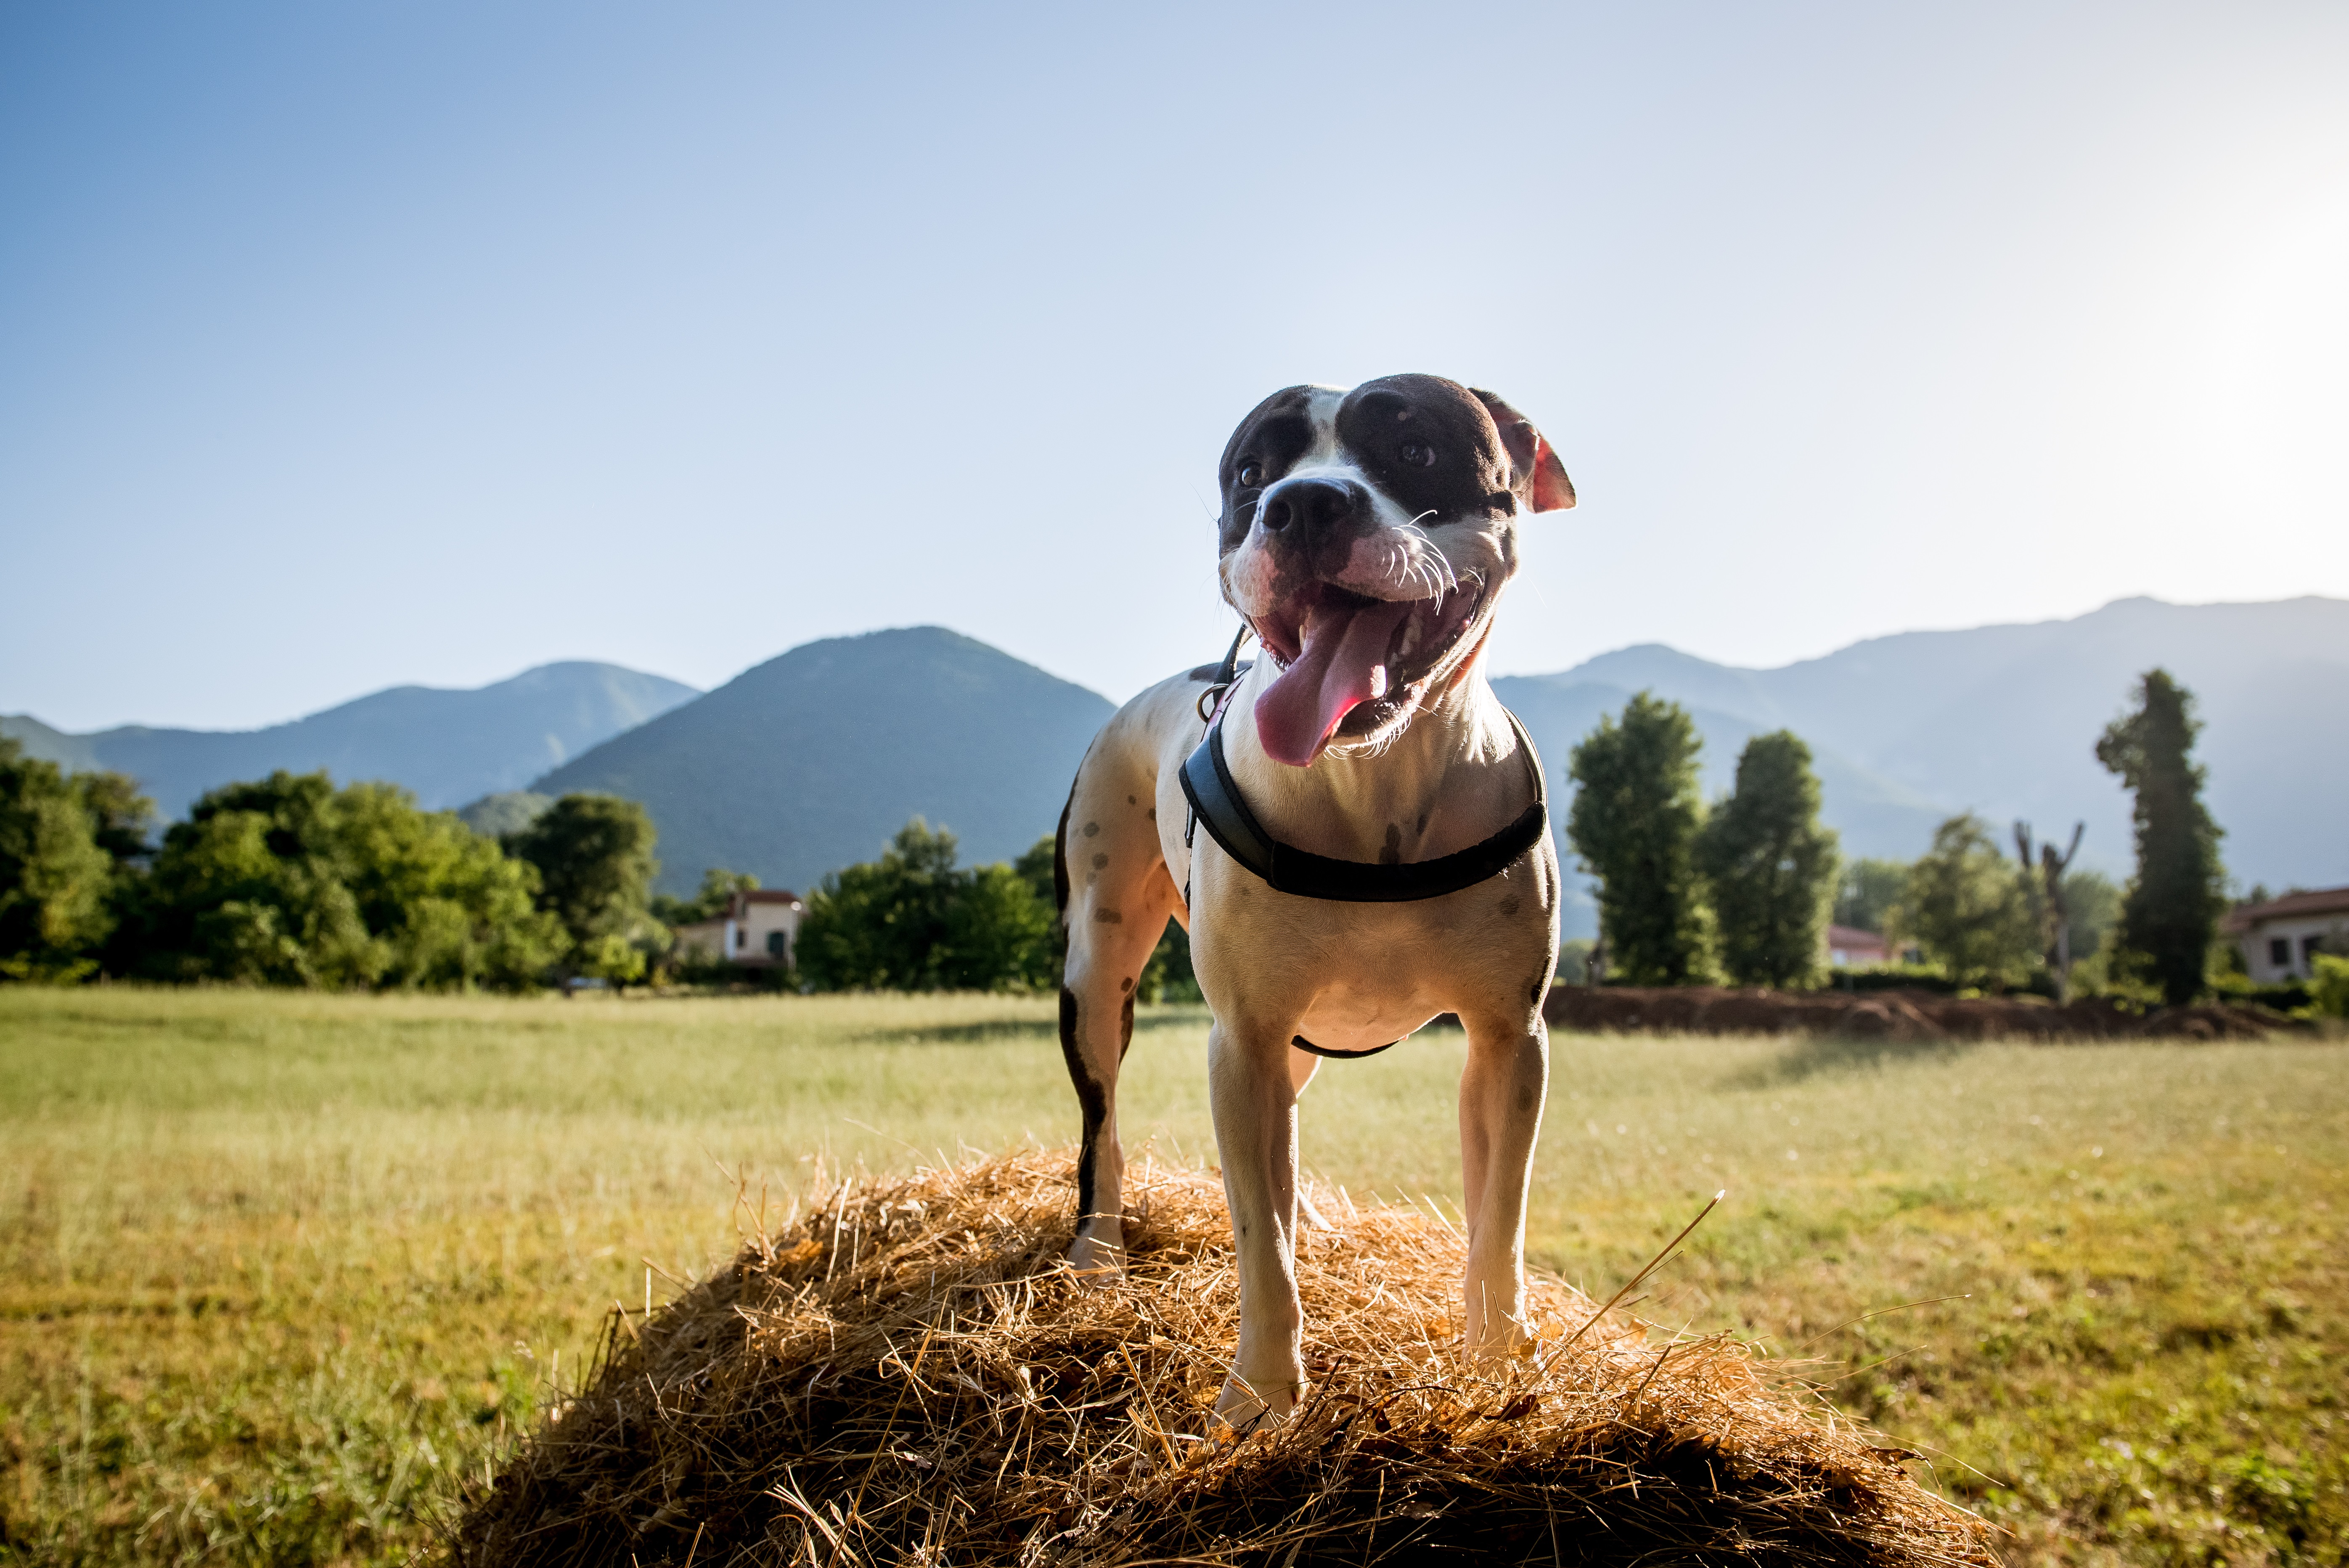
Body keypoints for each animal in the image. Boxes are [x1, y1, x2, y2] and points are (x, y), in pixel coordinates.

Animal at [1052, 373, 1569, 1427]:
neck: (1373, 781)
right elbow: (1262, 1247)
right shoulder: (1241, 1043)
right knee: (1104, 1132)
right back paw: (1098, 1253)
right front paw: (1258, 1397)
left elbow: (1496, 1224)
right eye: (1253, 472)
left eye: (1414, 450)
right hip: (1094, 978)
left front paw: (1498, 1364)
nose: (1302, 505)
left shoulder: (1507, 1042)